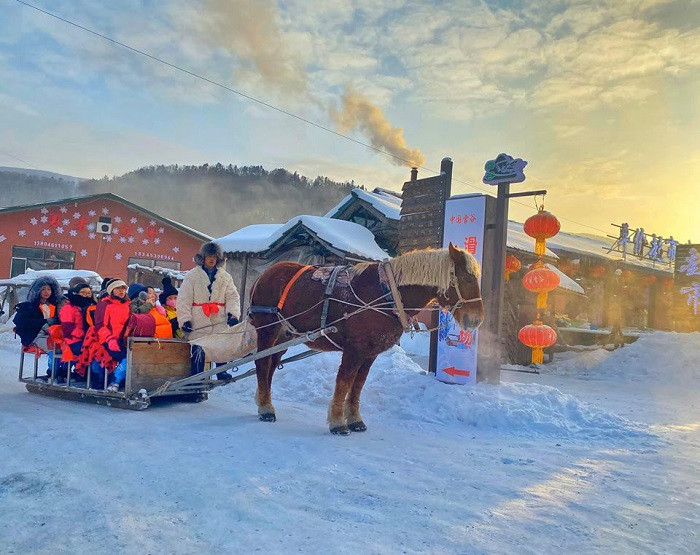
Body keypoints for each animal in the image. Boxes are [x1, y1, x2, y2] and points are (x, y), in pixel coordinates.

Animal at [246, 243, 482, 434]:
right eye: (467, 278)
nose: (476, 319)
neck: (387, 294)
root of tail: (263, 275)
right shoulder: (354, 349)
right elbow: (344, 382)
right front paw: (337, 422)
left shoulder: (370, 352)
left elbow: (358, 385)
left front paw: (355, 420)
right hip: (268, 329)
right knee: (262, 363)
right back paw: (266, 408)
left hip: (285, 334)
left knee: (271, 364)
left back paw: (263, 400)